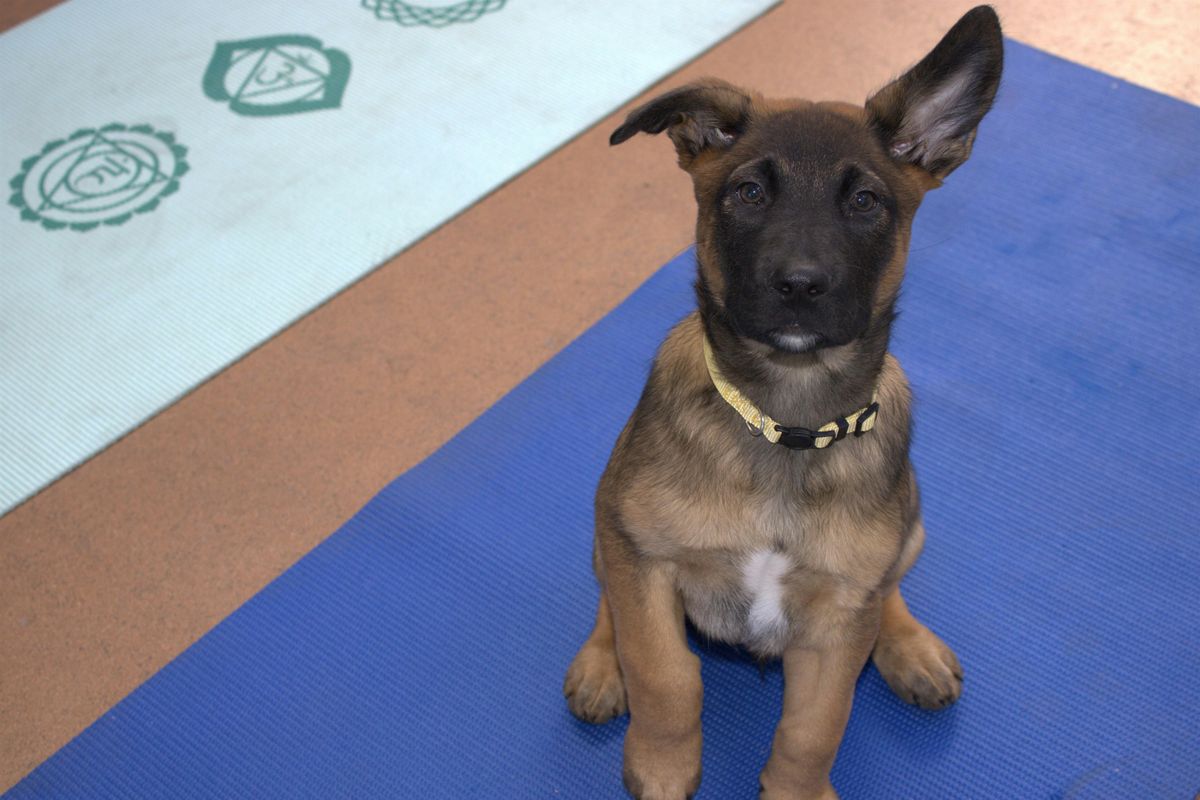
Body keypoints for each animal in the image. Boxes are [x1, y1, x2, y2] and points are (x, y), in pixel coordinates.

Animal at [561, 6, 1003, 800]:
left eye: (864, 202)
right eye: (749, 193)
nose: (799, 284)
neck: (787, 424)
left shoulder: (835, 629)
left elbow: (814, 728)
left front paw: (797, 786)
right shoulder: (645, 559)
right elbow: (666, 675)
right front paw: (663, 764)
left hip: (912, 529)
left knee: (888, 588)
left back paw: (909, 646)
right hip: (607, 522)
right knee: (609, 602)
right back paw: (599, 664)